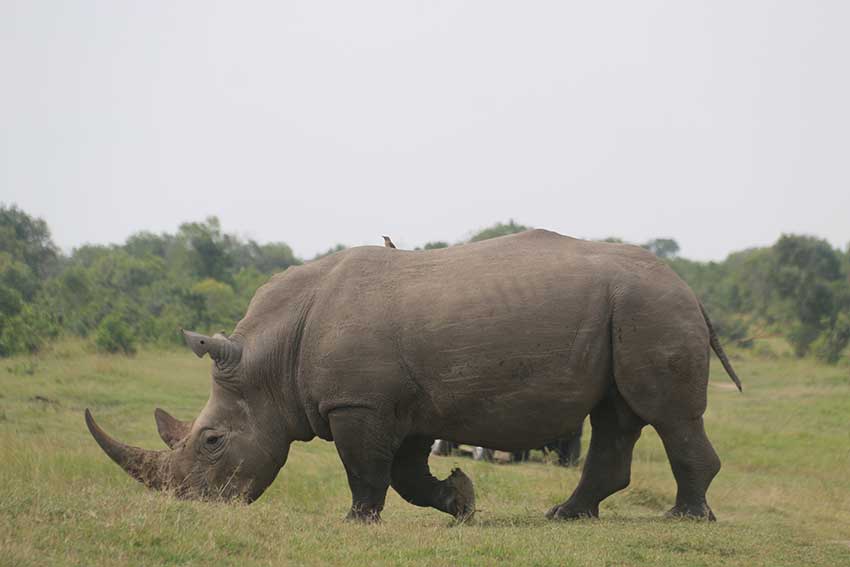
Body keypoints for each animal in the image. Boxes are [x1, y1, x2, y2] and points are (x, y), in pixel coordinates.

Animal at [86, 229, 741, 523]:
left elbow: (365, 470)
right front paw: (462, 500)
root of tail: (693, 290)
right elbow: (404, 474)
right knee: (616, 416)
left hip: (651, 307)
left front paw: (355, 522)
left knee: (665, 413)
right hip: (634, 309)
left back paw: (684, 519)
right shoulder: (405, 407)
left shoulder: (358, 404)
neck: (270, 358)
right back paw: (566, 516)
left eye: (213, 442)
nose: (191, 504)